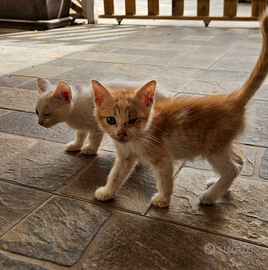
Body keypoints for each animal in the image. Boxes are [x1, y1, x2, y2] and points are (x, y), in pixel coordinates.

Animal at [91, 13, 268, 208]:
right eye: (111, 120)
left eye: (133, 120)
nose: (121, 134)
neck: (139, 136)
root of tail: (233, 99)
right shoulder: (125, 157)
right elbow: (116, 174)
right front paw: (108, 192)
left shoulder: (163, 158)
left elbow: (165, 179)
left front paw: (163, 199)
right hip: (223, 144)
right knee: (239, 160)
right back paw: (217, 185)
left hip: (213, 147)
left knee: (232, 169)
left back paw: (210, 196)